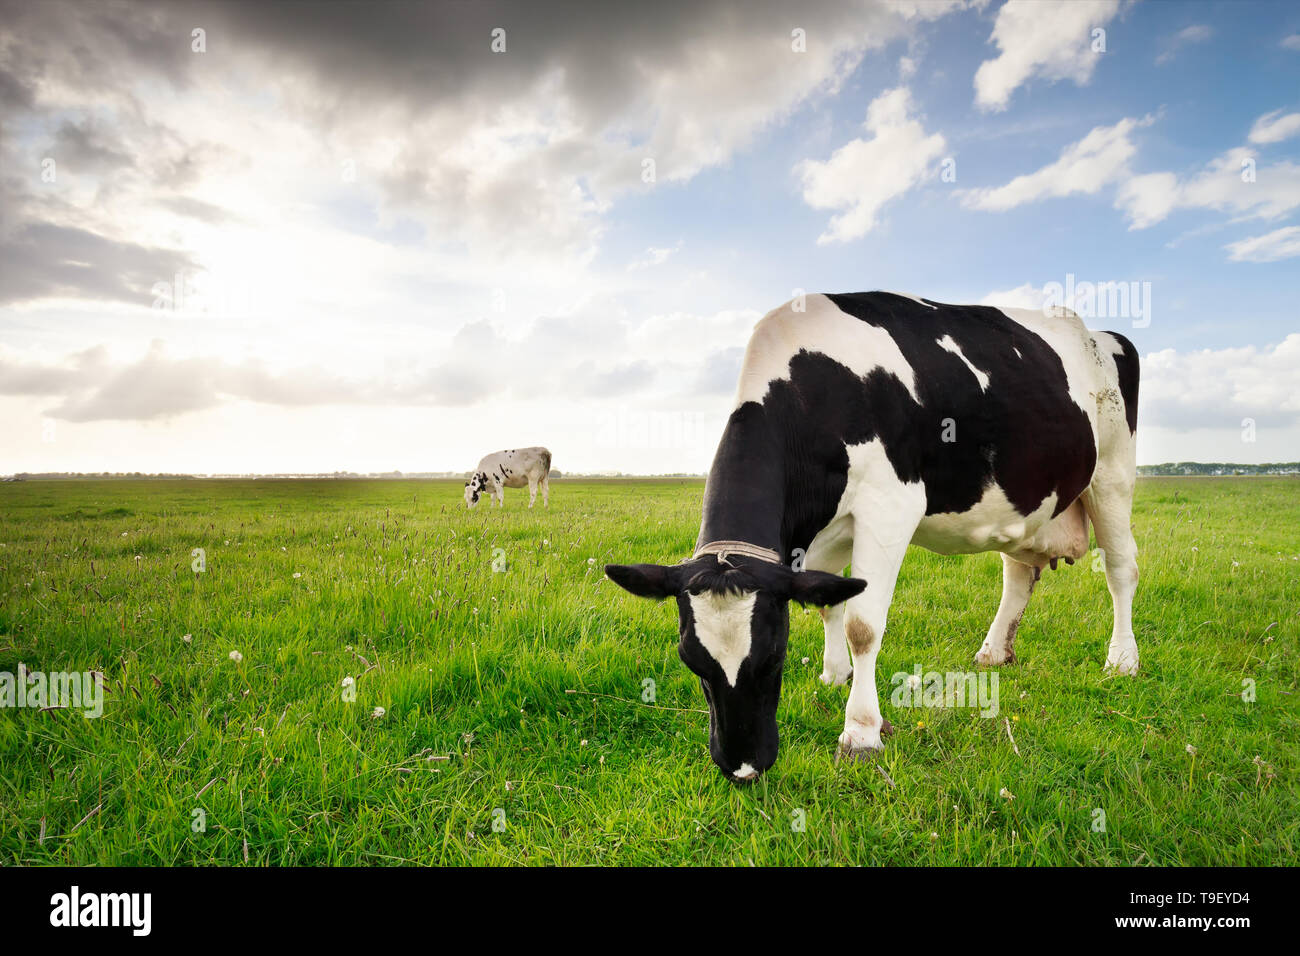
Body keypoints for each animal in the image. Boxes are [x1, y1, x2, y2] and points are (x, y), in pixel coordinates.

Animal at [606, 291, 1140, 781]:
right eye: (690, 659)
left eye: (774, 655)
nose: (741, 768)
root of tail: (1099, 334)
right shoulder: (823, 533)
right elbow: (830, 601)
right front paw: (833, 675)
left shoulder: (890, 507)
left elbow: (862, 625)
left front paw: (861, 732)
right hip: (1025, 502)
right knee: (1018, 574)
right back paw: (993, 652)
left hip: (1113, 473)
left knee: (1121, 569)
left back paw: (1122, 660)